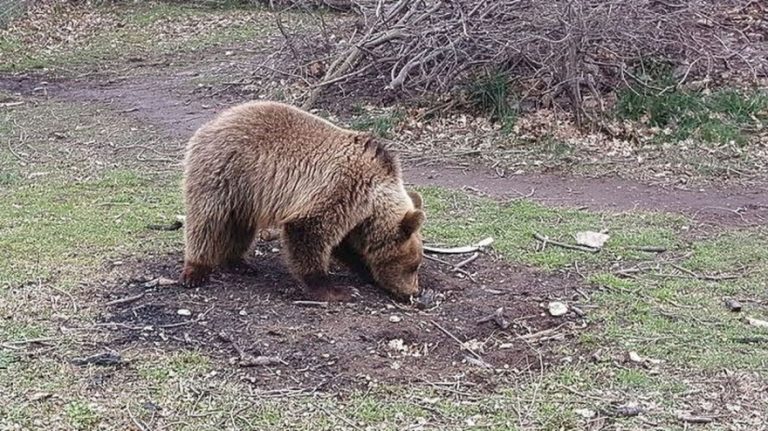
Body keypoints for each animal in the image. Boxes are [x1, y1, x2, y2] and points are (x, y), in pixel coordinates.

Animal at [179, 99, 424, 302]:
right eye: (413, 265)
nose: (413, 292)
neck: (373, 199)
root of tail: (212, 123)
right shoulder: (342, 188)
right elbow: (309, 232)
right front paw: (335, 289)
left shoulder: (354, 213)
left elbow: (345, 245)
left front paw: (364, 270)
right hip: (224, 173)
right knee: (207, 221)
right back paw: (196, 270)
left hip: (246, 194)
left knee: (239, 226)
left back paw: (239, 262)